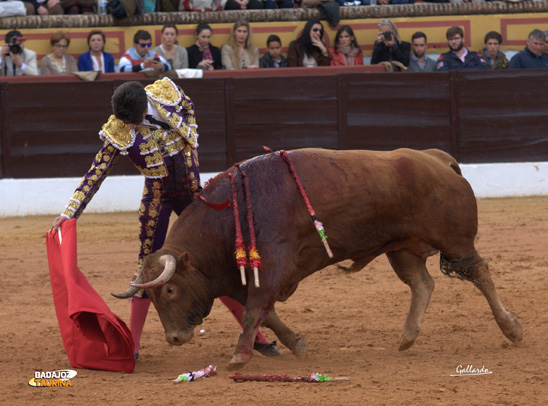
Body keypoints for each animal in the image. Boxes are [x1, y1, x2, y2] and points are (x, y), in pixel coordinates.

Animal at [114, 148, 524, 368]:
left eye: (169, 291)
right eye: (151, 297)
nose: (174, 338)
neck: (227, 217)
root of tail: (437, 159)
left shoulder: (273, 265)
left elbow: (253, 311)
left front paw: (239, 356)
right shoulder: (250, 277)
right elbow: (264, 314)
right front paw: (296, 344)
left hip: (456, 241)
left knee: (481, 273)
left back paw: (512, 329)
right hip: (401, 248)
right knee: (422, 284)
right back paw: (407, 338)